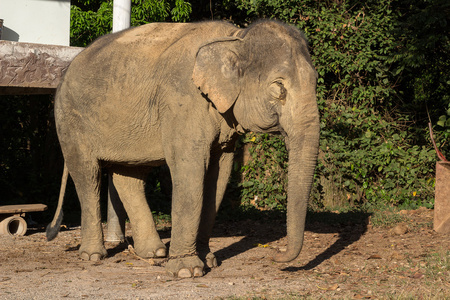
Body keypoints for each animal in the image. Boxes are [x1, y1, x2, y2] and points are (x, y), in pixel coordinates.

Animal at [46, 20, 320, 278]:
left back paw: (155, 253)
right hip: (70, 119)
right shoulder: (182, 100)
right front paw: (187, 271)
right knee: (87, 174)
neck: (235, 37)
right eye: (278, 87)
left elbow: (219, 174)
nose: (275, 256)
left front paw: (208, 261)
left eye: (316, 82)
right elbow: (190, 169)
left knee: (129, 176)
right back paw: (94, 255)